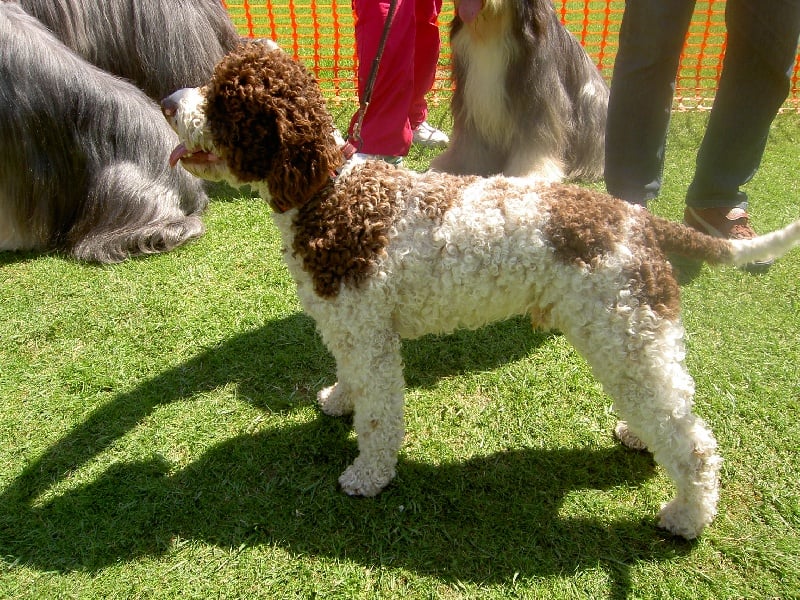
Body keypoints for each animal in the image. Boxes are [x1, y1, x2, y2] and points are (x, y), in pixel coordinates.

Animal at [161, 42, 800, 540]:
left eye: (224, 98)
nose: (166, 103)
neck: (330, 192)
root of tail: (637, 220)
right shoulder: (348, 325)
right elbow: (350, 381)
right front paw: (339, 399)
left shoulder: (372, 337)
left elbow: (379, 418)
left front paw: (369, 476)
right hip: (631, 339)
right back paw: (641, 442)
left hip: (627, 335)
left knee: (693, 441)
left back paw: (688, 515)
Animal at [432, 0, 608, 182]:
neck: (493, 30)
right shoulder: (471, 100)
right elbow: (469, 142)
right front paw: (459, 166)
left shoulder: (538, 101)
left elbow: (536, 143)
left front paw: (530, 174)